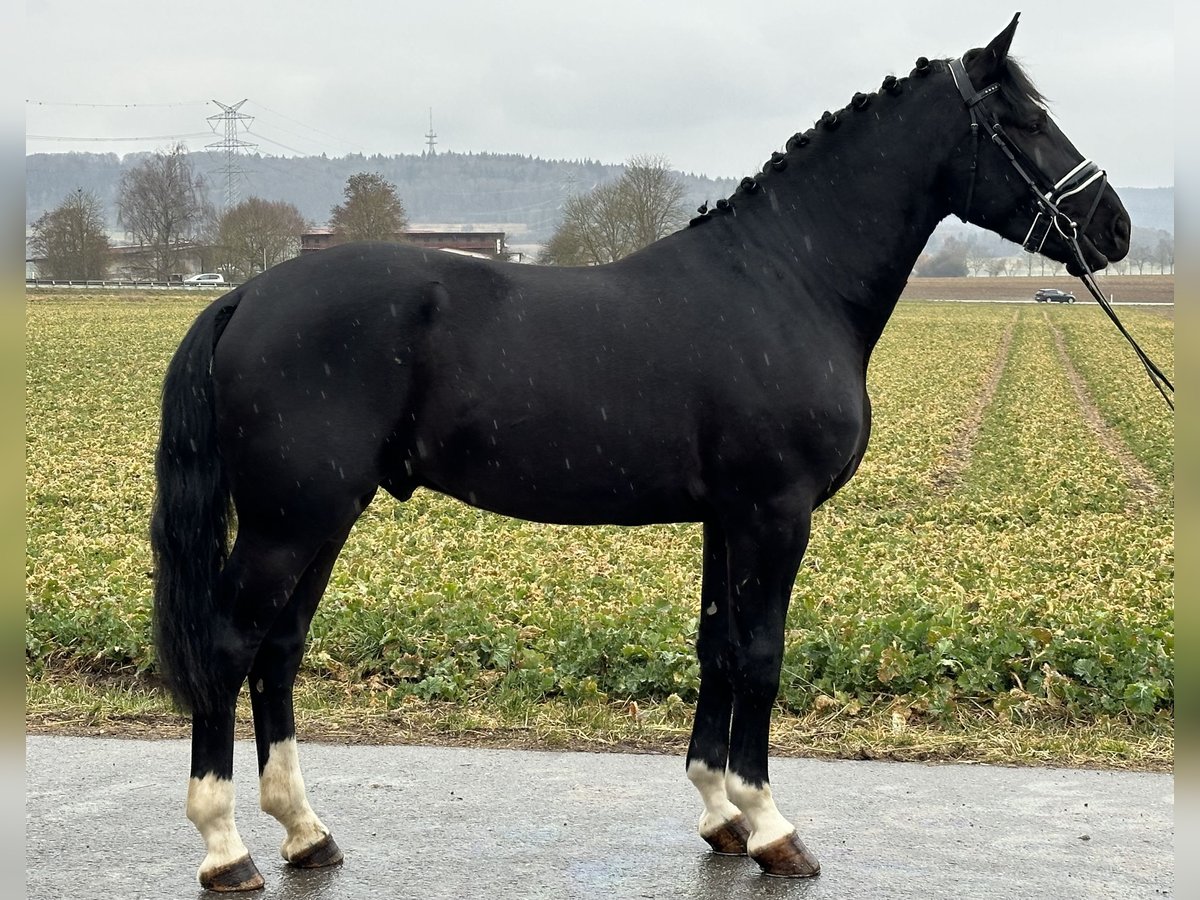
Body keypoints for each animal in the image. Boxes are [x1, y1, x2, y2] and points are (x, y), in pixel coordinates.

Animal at [150, 15, 1123, 897]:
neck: (785, 282)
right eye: (1024, 122)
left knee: (279, 650)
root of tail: (246, 295)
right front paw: (774, 829)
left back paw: (306, 833)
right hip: (288, 521)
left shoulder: (729, 516)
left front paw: (722, 815)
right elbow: (761, 654)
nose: (1111, 226)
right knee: (230, 645)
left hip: (322, 516)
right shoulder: (775, 512)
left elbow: (717, 647)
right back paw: (226, 849)